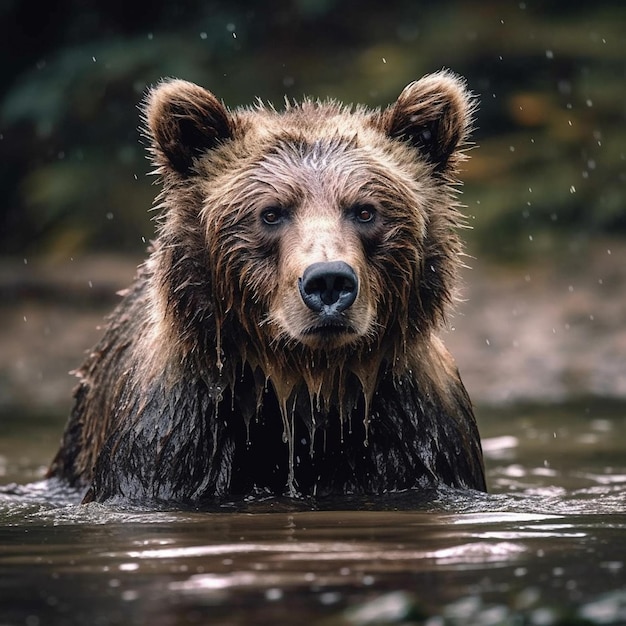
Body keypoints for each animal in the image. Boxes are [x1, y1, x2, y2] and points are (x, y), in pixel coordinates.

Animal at [46, 72, 486, 502]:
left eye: (365, 211)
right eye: (271, 213)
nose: (328, 280)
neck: (307, 382)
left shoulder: (417, 436)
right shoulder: (173, 436)